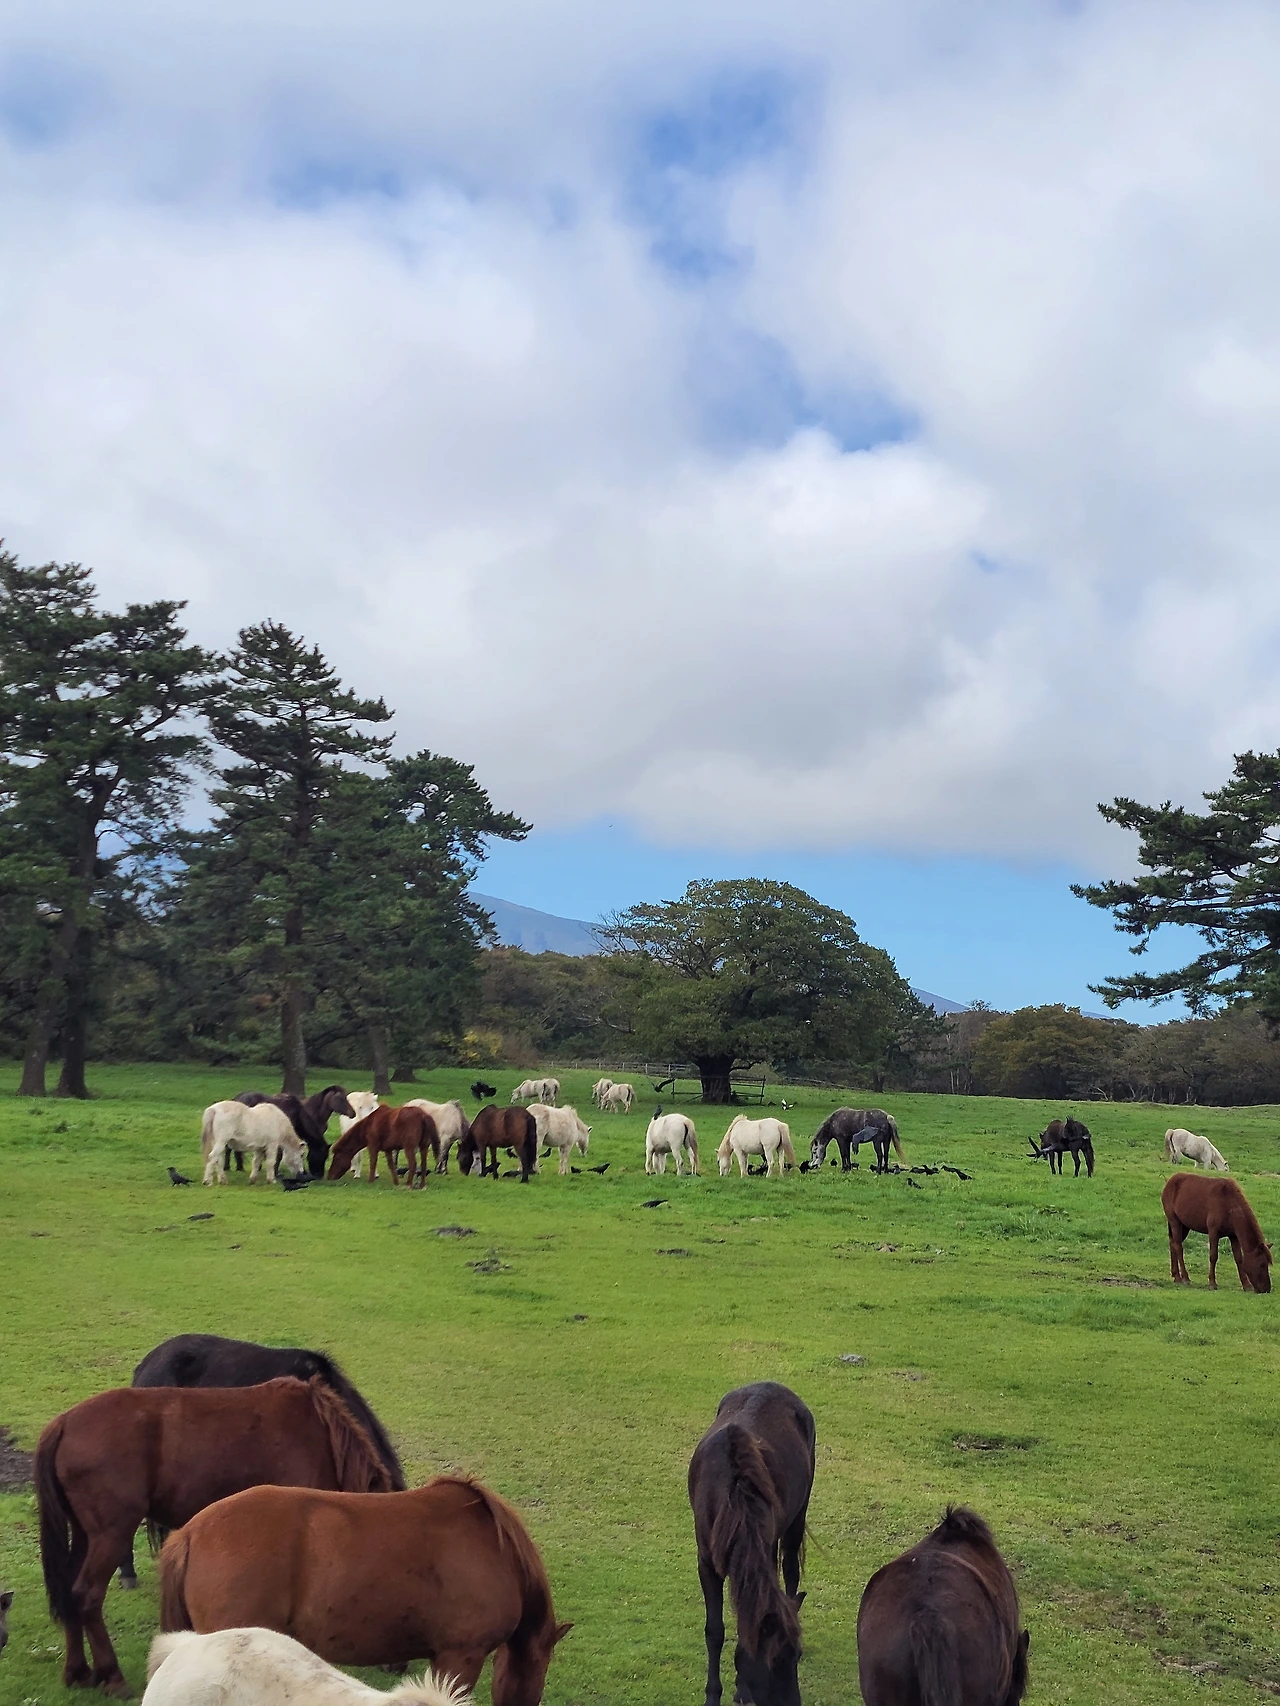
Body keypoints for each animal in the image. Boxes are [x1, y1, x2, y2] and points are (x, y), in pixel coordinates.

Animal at [35, 1376, 395, 1696]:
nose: (397, 1664)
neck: (320, 1437)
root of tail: (64, 1423)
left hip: (86, 1535)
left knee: (69, 1593)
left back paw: (79, 1672)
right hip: (110, 1536)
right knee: (87, 1595)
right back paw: (112, 1676)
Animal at [688, 1381, 815, 1706]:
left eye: (795, 1657)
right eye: (772, 1662)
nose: (794, 1704)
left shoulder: (765, 1548)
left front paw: (740, 1689)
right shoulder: (706, 1562)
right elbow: (714, 1631)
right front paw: (714, 1695)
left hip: (799, 1514)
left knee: (791, 1568)